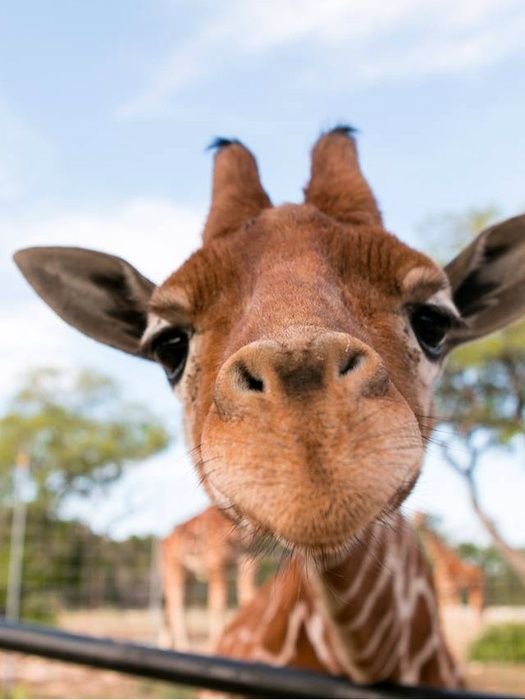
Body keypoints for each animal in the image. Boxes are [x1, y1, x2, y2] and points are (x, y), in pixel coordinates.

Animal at [161, 506, 256, 648]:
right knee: (175, 607)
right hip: (174, 571)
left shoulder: (248, 565)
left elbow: (247, 599)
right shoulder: (216, 566)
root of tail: (164, 541)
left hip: (188, 578)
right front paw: (214, 644)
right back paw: (183, 646)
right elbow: (217, 605)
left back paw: (166, 644)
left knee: (171, 606)